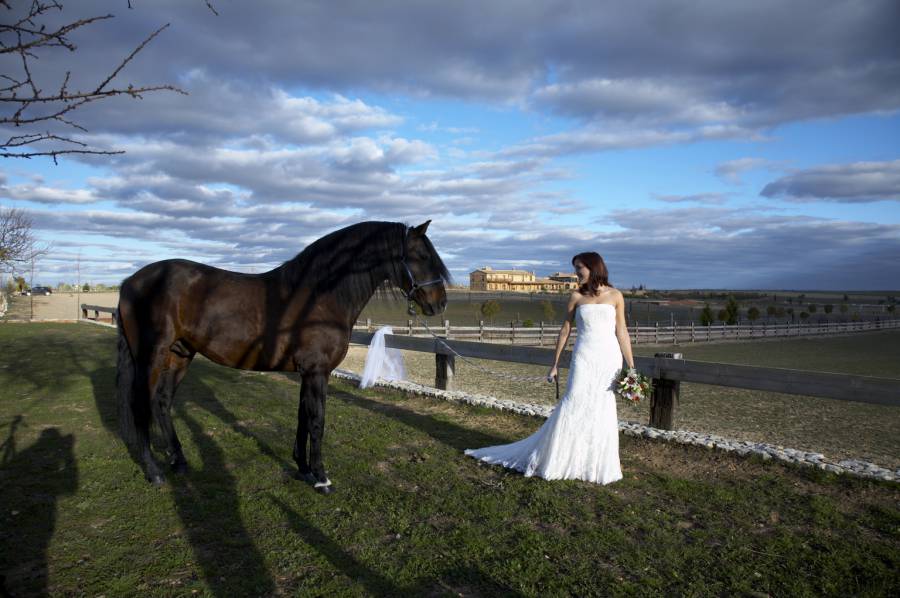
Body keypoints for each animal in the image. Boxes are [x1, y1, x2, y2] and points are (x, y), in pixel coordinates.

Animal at [114, 223, 448, 494]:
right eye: (421, 256)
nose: (440, 303)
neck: (319, 297)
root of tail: (130, 282)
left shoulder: (307, 371)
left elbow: (303, 417)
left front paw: (303, 469)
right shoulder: (317, 371)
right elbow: (317, 420)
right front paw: (322, 478)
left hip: (180, 355)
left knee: (162, 402)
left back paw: (179, 461)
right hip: (151, 357)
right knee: (140, 405)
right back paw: (155, 473)